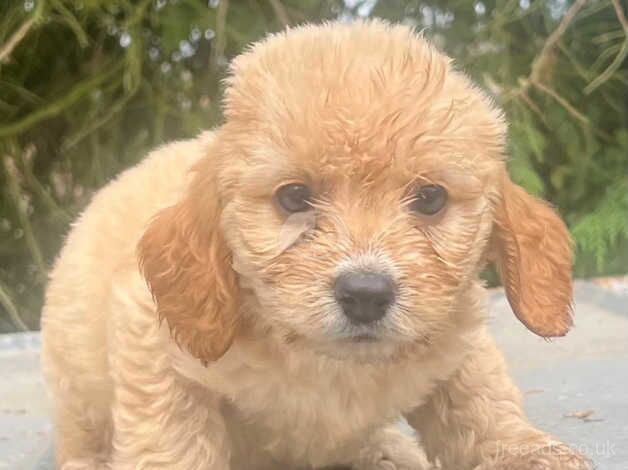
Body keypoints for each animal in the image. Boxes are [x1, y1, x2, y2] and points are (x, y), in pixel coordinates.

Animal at [41, 21, 592, 470]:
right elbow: (171, 439)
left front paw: (526, 452)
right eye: (293, 197)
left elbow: (481, 400)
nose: (366, 294)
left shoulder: (457, 335)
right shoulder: (151, 341)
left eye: (431, 198)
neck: (326, 365)